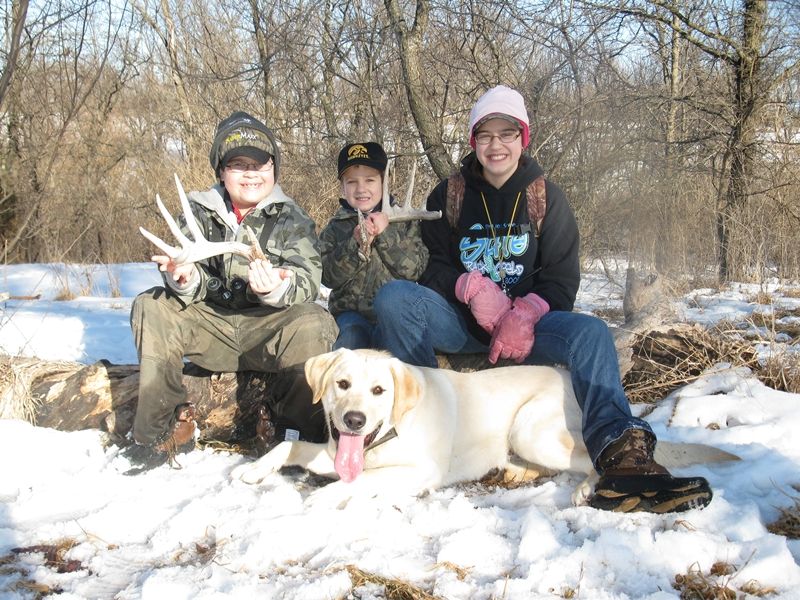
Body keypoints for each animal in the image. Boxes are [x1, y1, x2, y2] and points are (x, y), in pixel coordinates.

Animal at [230, 346, 732, 506]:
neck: (387, 436)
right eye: (342, 384)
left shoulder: (420, 472)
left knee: (592, 457)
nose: (354, 420)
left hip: (530, 427)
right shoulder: (336, 451)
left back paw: (589, 488)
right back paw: (515, 471)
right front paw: (252, 470)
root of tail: (570, 377)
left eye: (379, 391)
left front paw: (322, 497)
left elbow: (352, 483)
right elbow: (289, 448)